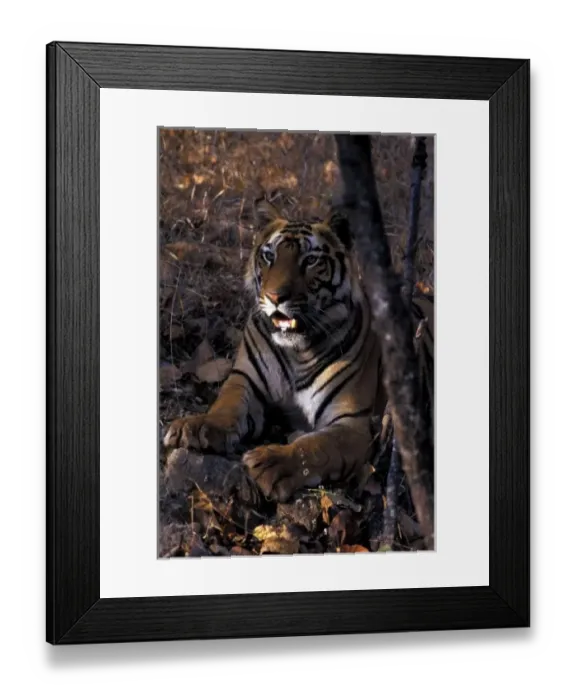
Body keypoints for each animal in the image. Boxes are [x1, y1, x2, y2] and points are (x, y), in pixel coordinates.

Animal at [164, 199, 434, 503]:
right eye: (269, 256)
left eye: (311, 260)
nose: (275, 297)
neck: (297, 351)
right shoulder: (245, 381)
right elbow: (226, 405)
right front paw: (196, 427)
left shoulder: (352, 423)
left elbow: (314, 446)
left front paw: (270, 462)